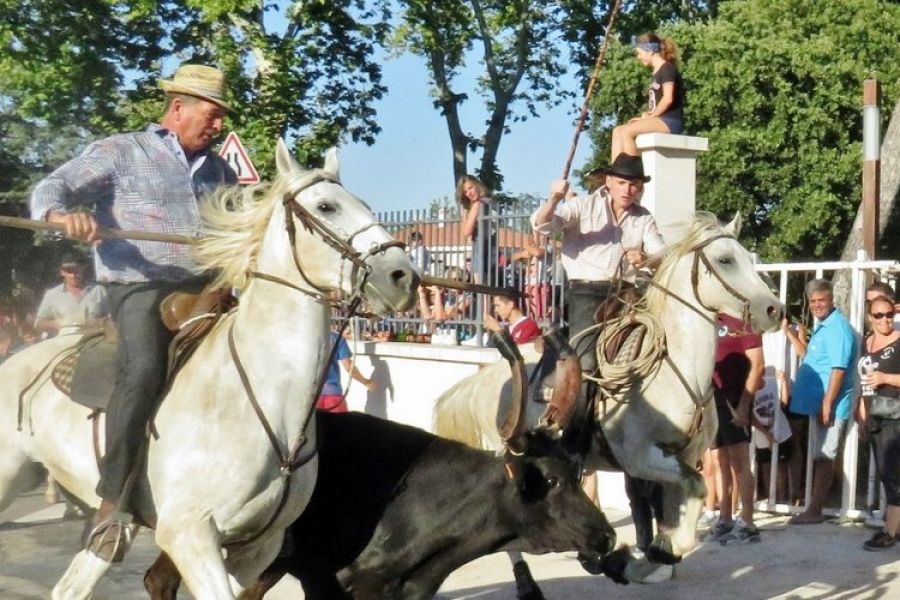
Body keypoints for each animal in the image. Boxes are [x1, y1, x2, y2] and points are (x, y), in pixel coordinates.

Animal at [0, 140, 419, 600]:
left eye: (365, 205)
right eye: (326, 206)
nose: (402, 277)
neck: (263, 398)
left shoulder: (256, 547)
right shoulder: (190, 534)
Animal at [434, 213, 784, 595]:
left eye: (749, 258)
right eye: (725, 260)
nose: (775, 309)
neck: (675, 372)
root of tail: (482, 381)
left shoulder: (685, 455)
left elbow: (679, 505)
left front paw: (655, 553)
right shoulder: (640, 457)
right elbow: (695, 488)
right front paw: (650, 555)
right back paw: (530, 583)